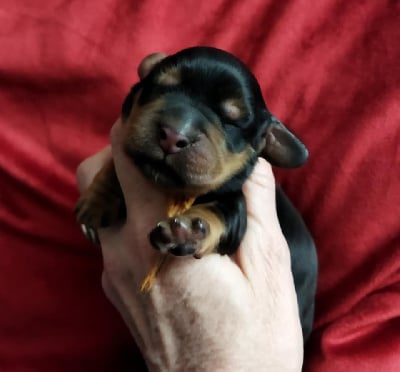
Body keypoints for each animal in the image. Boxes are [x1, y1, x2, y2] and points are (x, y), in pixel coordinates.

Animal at [76, 45, 318, 340]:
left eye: (231, 122)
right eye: (161, 86)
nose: (173, 135)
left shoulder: (235, 205)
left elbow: (218, 214)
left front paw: (189, 230)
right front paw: (96, 200)